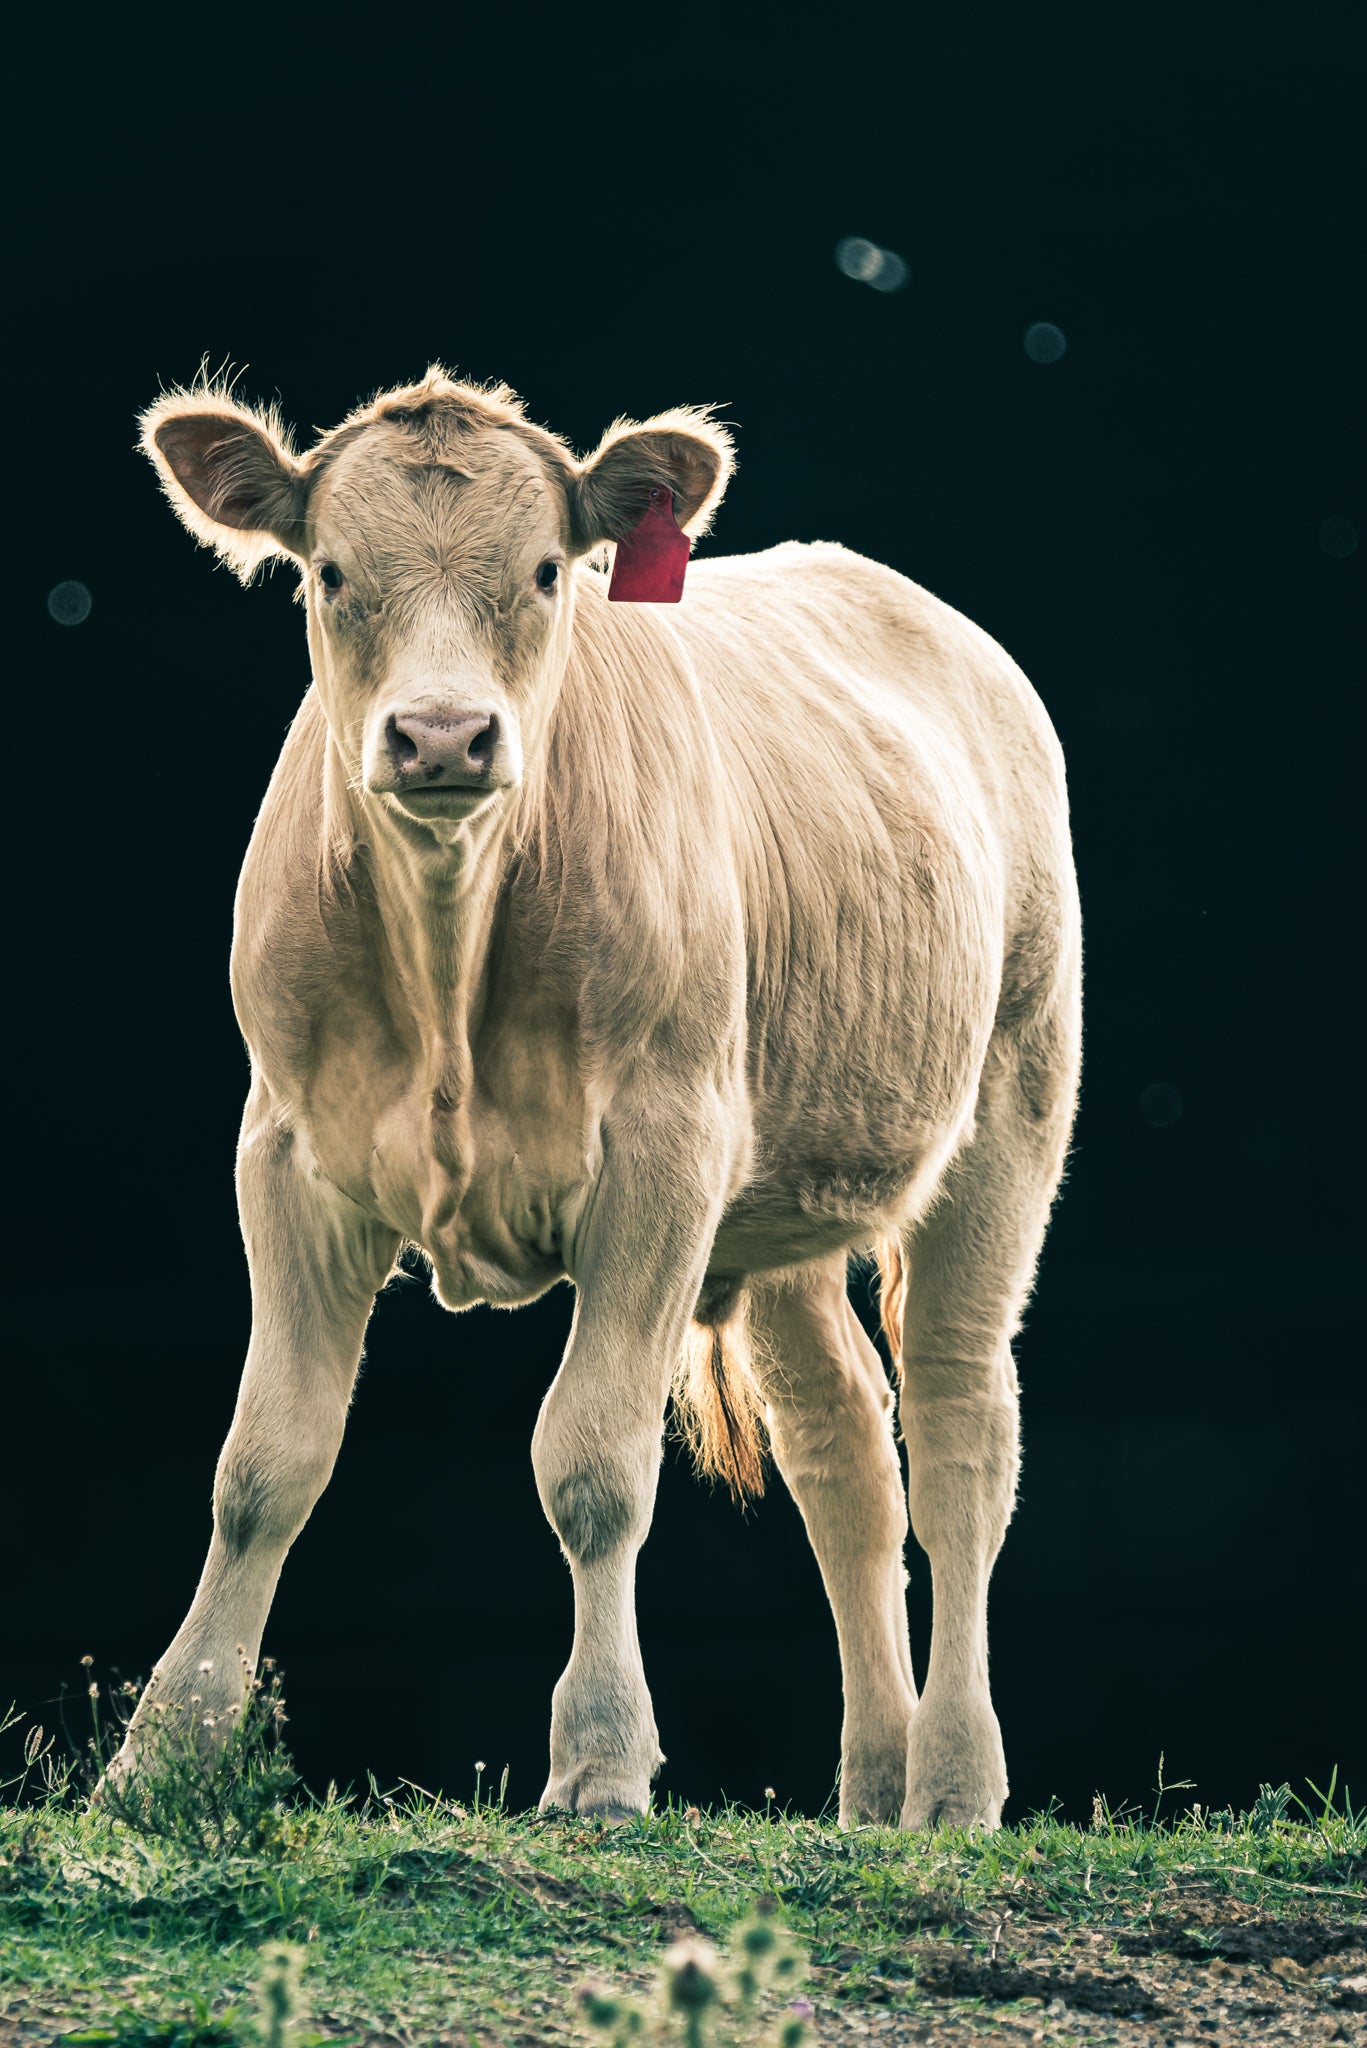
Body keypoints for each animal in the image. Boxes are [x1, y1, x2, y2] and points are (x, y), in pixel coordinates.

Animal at [112, 365, 1082, 1830]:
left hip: (1007, 1107)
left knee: (961, 1433)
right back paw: (869, 1787)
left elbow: (591, 1463)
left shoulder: (660, 1157)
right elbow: (262, 1466)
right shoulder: (287, 1152)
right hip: (780, 1190)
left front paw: (602, 1759)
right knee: (842, 1451)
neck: (450, 945)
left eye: (543, 570)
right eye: (330, 573)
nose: (441, 734)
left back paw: (953, 1785)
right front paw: (162, 1751)